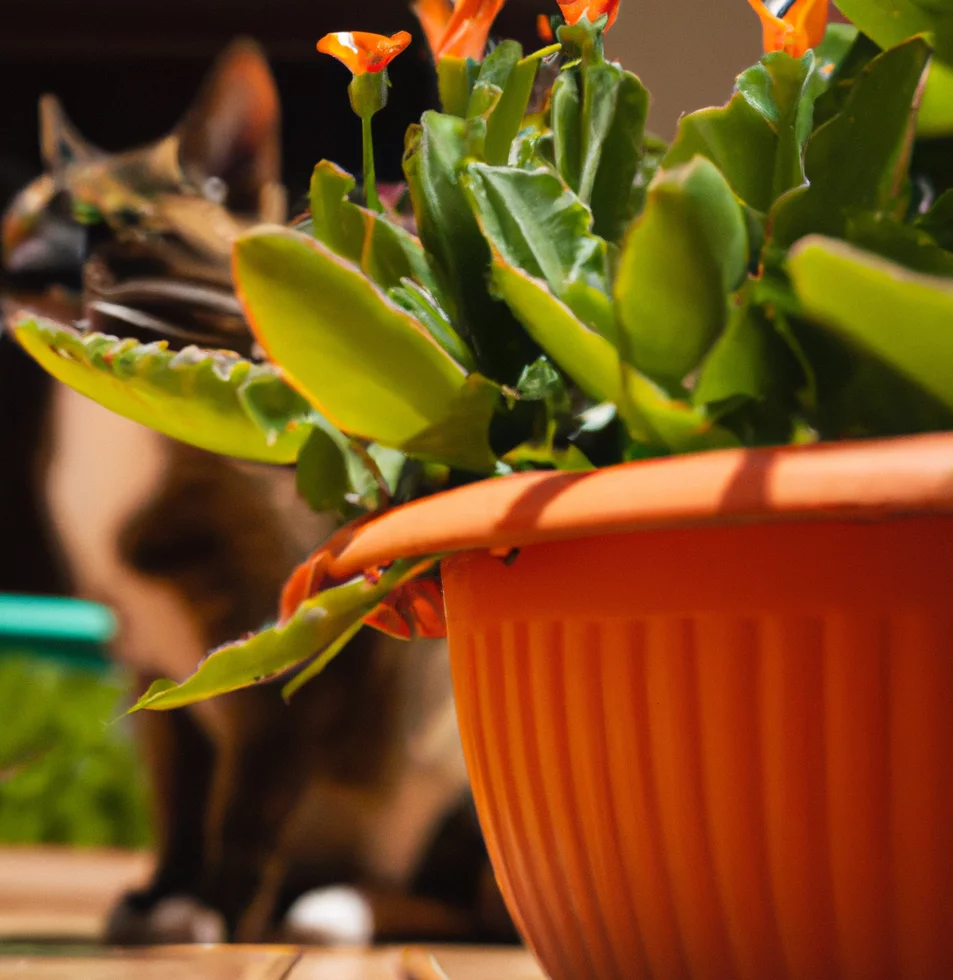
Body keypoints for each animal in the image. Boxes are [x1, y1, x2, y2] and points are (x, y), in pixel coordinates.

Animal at [0, 40, 512, 948]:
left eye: (119, 226)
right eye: (19, 221)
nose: (20, 267)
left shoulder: (283, 649)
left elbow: (245, 807)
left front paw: (220, 913)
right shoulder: (149, 668)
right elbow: (178, 799)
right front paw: (164, 894)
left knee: (474, 902)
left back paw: (338, 908)